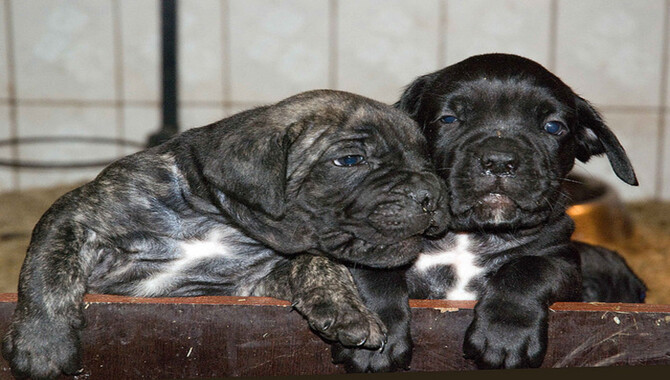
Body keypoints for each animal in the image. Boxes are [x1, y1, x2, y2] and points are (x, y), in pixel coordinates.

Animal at [2, 90, 452, 378]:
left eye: (426, 160)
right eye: (350, 160)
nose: (431, 194)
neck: (217, 216)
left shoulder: (249, 283)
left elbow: (315, 261)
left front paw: (344, 307)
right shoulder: (77, 216)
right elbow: (47, 271)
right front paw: (42, 342)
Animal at [396, 53, 644, 368]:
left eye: (553, 127)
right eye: (449, 119)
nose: (500, 160)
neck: (471, 237)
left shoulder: (561, 261)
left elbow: (528, 269)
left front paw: (504, 334)